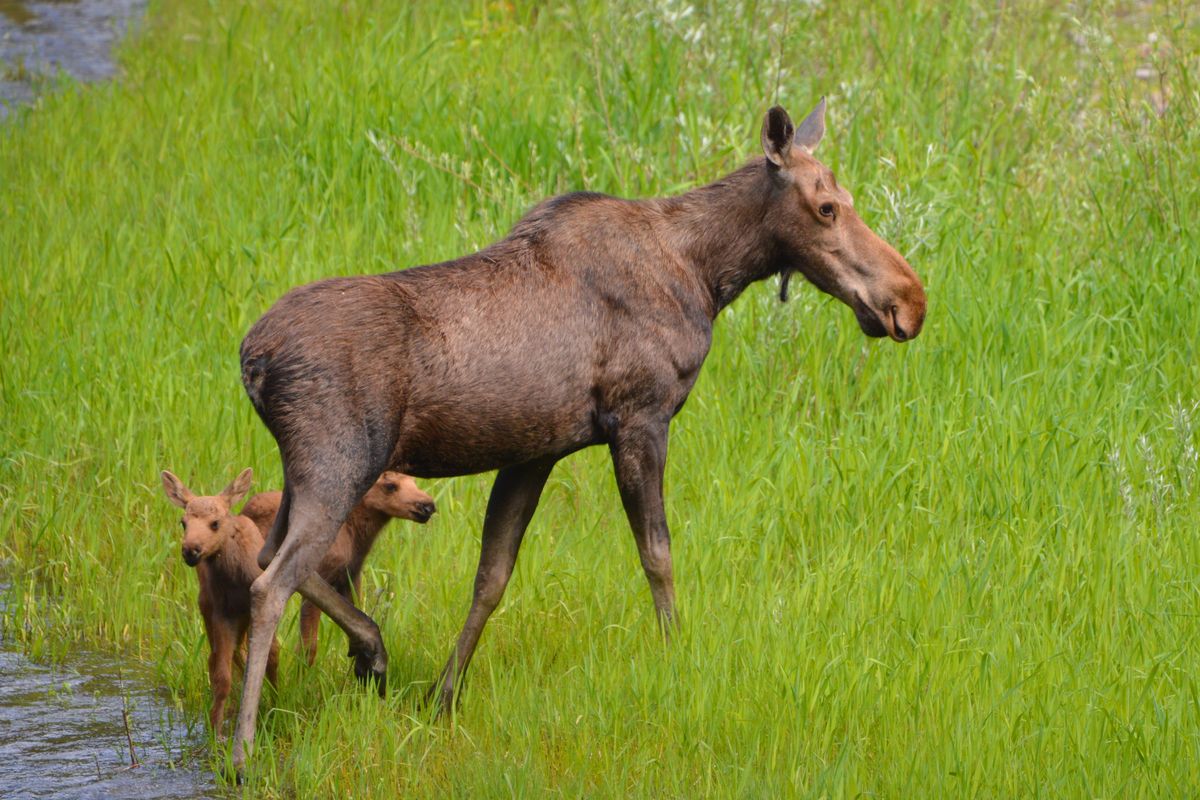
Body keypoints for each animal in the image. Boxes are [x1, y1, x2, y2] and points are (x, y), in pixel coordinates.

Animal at [159, 468, 279, 734]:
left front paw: (278, 701)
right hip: (207, 607)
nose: (190, 550)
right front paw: (215, 729)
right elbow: (222, 675)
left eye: (215, 523)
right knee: (217, 657)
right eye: (183, 522)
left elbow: (272, 655)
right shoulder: (222, 613)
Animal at [239, 471, 436, 665]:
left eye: (414, 481)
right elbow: (308, 647)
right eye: (390, 486)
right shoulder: (319, 575)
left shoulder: (351, 579)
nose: (428, 505)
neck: (354, 538)